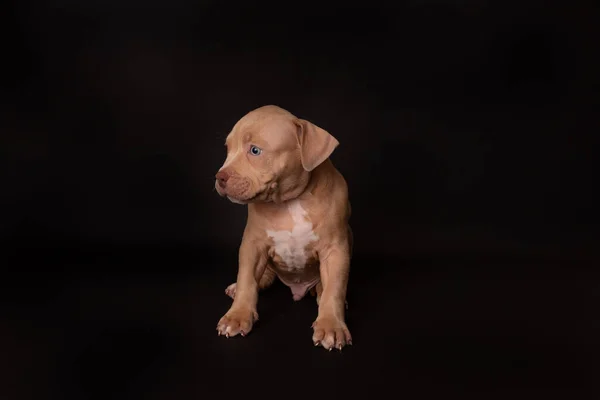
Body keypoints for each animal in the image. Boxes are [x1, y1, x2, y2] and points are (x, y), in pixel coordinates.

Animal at [214, 105, 352, 350]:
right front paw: (237, 316)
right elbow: (247, 280)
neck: (290, 201)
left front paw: (331, 326)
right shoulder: (253, 245)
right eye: (228, 149)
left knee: (326, 287)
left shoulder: (336, 249)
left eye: (255, 151)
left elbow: (334, 288)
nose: (219, 177)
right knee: (260, 277)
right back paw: (240, 286)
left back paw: (321, 291)